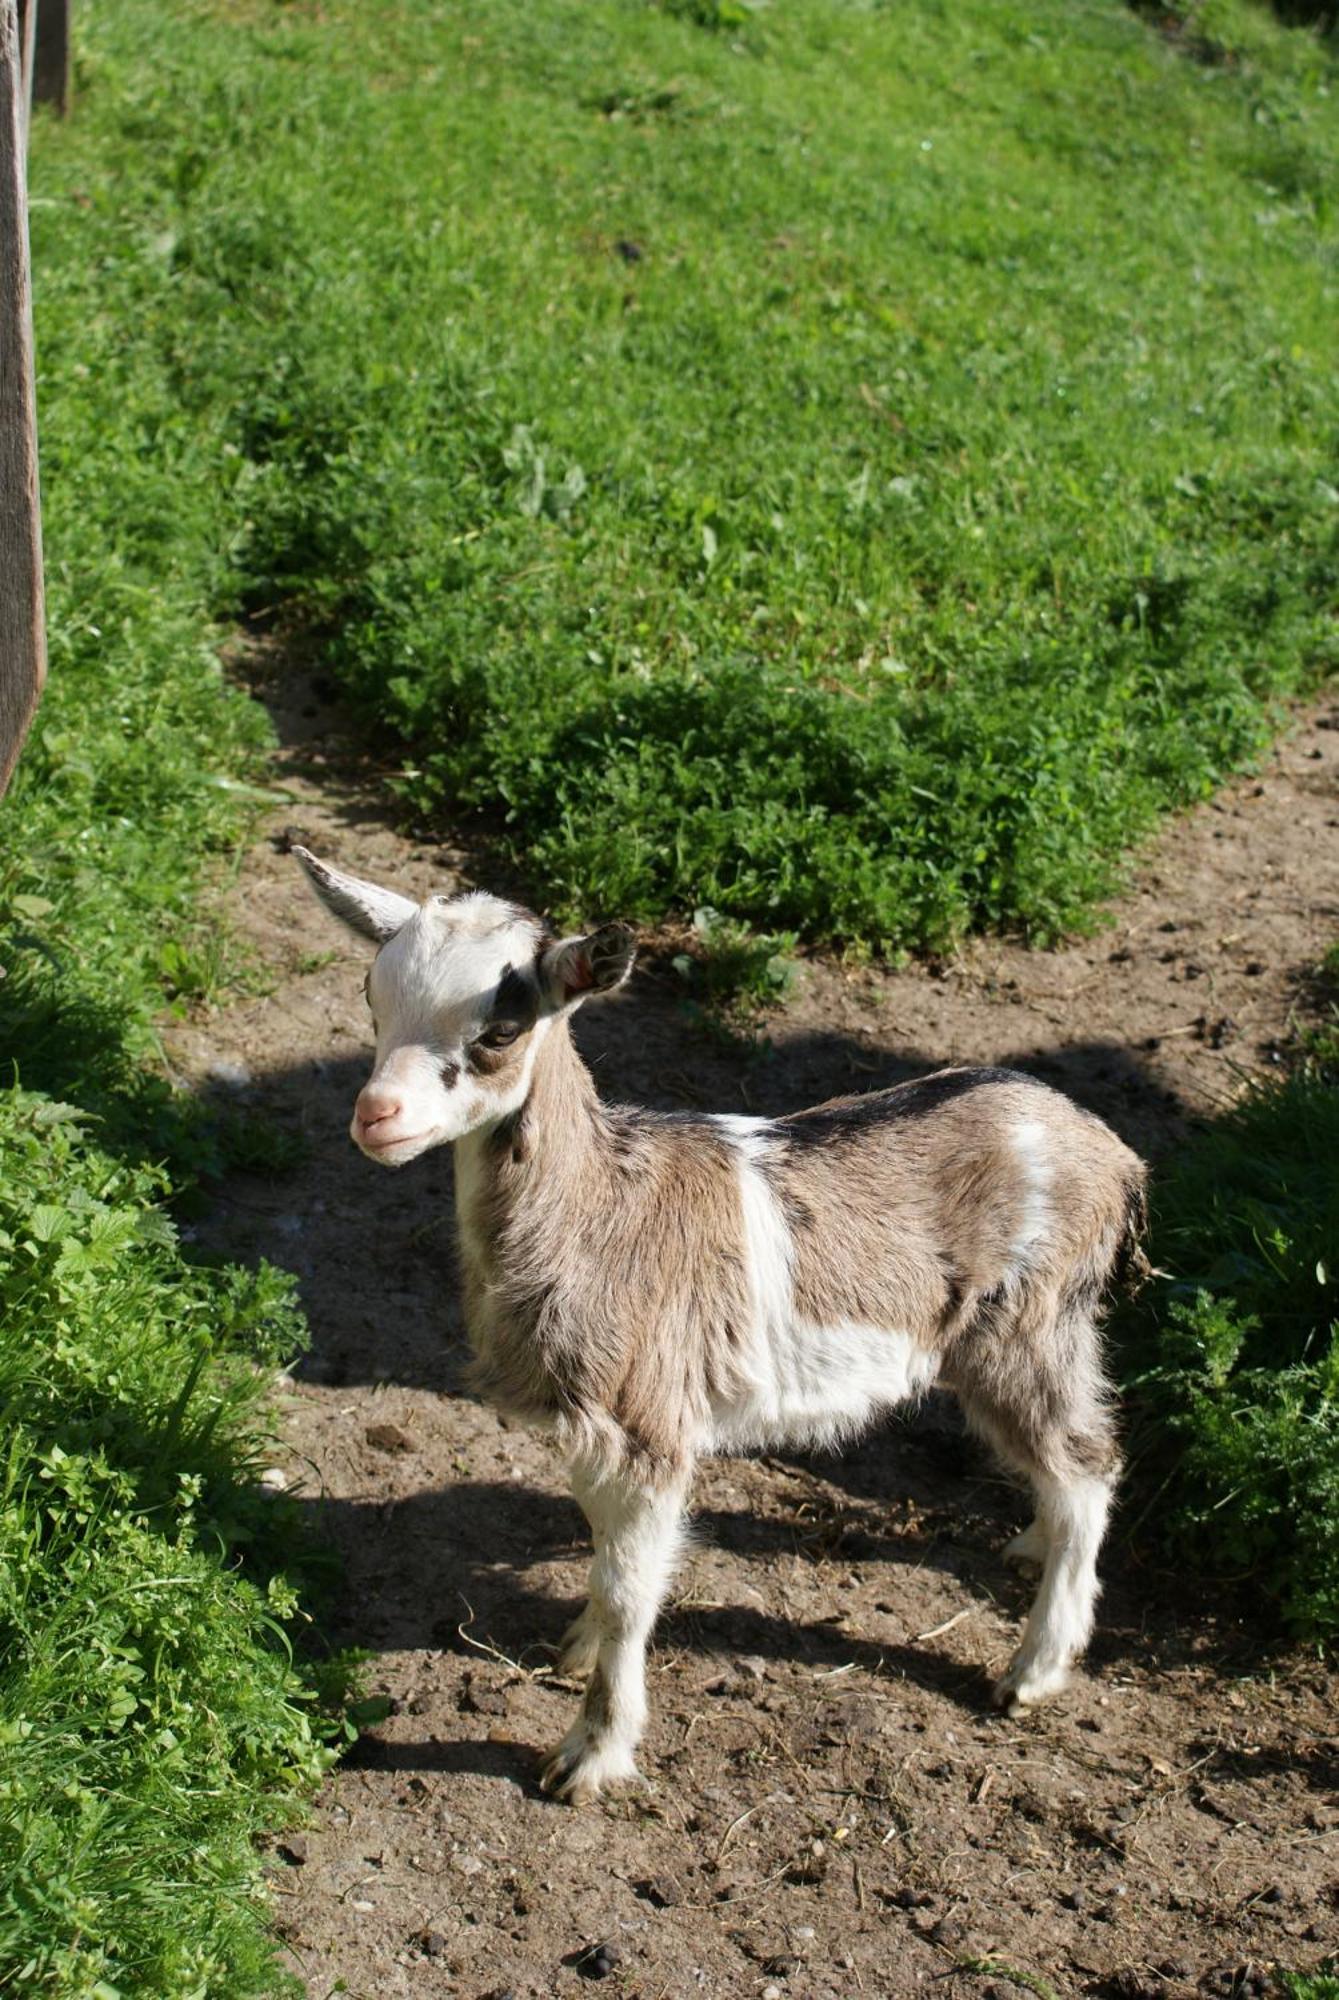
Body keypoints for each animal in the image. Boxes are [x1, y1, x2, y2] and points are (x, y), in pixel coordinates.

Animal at [299, 852, 1151, 1808]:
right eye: (372, 997)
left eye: (501, 1027)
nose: (376, 1115)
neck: (604, 1206)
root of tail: (1110, 1154)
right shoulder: (594, 1422)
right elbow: (604, 1550)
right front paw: (577, 1647)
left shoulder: (649, 1421)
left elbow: (630, 1586)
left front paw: (588, 1756)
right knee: (1062, 1466)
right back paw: (1029, 1551)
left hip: (1029, 1327)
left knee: (1086, 1465)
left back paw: (1032, 1670)